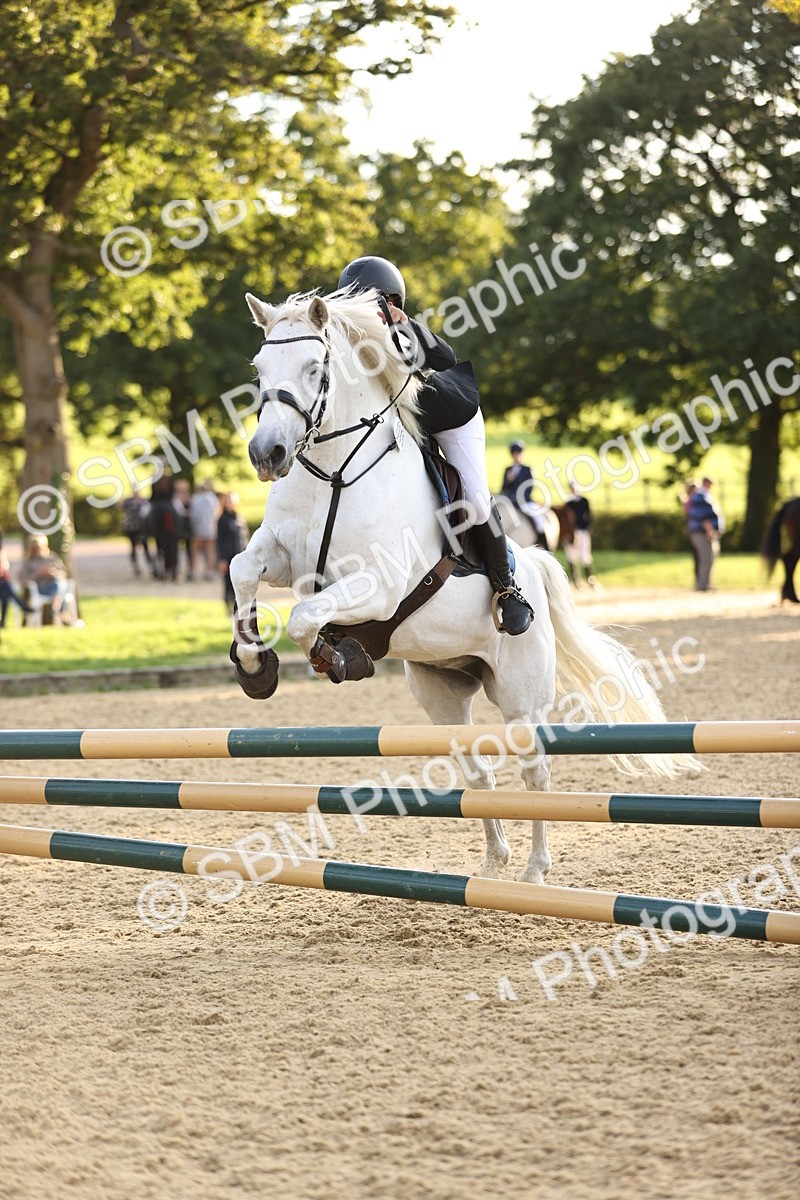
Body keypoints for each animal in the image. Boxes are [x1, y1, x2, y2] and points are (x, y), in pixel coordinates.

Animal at [230, 289, 692, 884]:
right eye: (259, 370)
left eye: (314, 368)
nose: (267, 455)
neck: (333, 474)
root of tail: (532, 568)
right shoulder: (282, 560)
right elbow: (242, 570)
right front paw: (254, 665)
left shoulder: (379, 584)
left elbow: (305, 617)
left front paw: (340, 656)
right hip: (442, 694)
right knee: (479, 776)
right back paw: (494, 863)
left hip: (520, 697)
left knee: (535, 774)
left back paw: (534, 871)